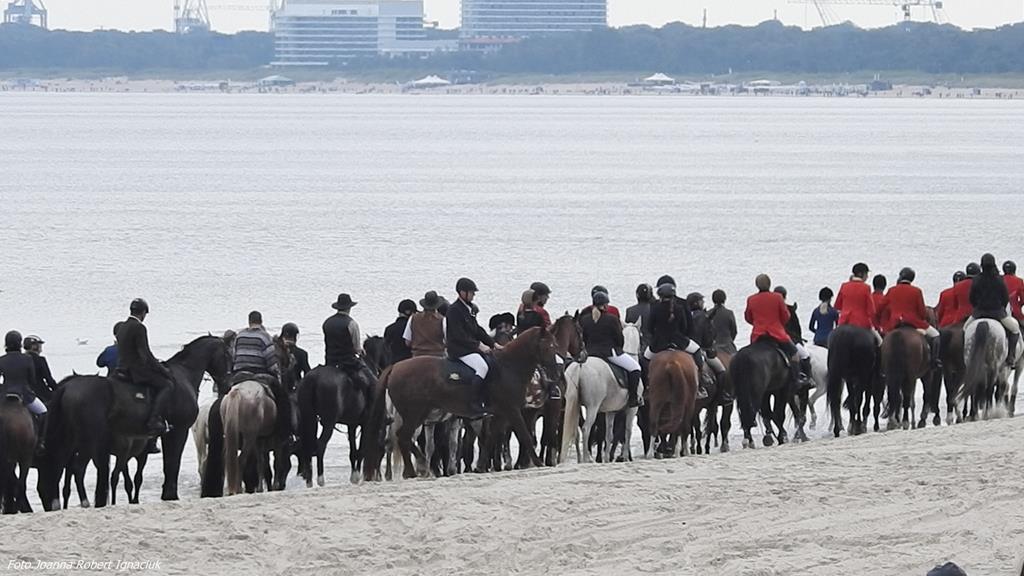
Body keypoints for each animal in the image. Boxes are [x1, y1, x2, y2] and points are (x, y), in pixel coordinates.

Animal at [39, 335, 231, 510]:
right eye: (227, 354)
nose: (226, 386)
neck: (183, 375)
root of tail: (67, 387)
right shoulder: (179, 430)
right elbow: (172, 463)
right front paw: (170, 494)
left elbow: (167, 464)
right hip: (87, 439)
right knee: (76, 468)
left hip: (68, 439)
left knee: (59, 467)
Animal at [365, 327, 557, 480]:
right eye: (548, 346)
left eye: (554, 345)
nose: (555, 371)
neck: (508, 366)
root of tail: (395, 367)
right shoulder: (512, 410)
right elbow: (525, 435)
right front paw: (539, 463)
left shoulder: (500, 414)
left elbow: (489, 438)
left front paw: (480, 467)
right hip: (414, 414)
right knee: (403, 437)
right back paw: (416, 470)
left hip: (418, 414)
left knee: (403, 438)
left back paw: (420, 467)